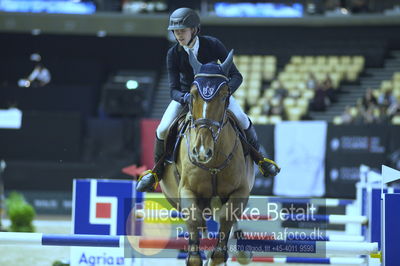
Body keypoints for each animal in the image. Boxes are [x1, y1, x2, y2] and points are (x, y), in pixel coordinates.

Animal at [161, 50, 255, 266]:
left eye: (224, 95)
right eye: (193, 94)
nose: (202, 151)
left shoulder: (240, 191)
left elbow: (227, 220)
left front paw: (220, 254)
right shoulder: (187, 190)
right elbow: (194, 220)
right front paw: (196, 255)